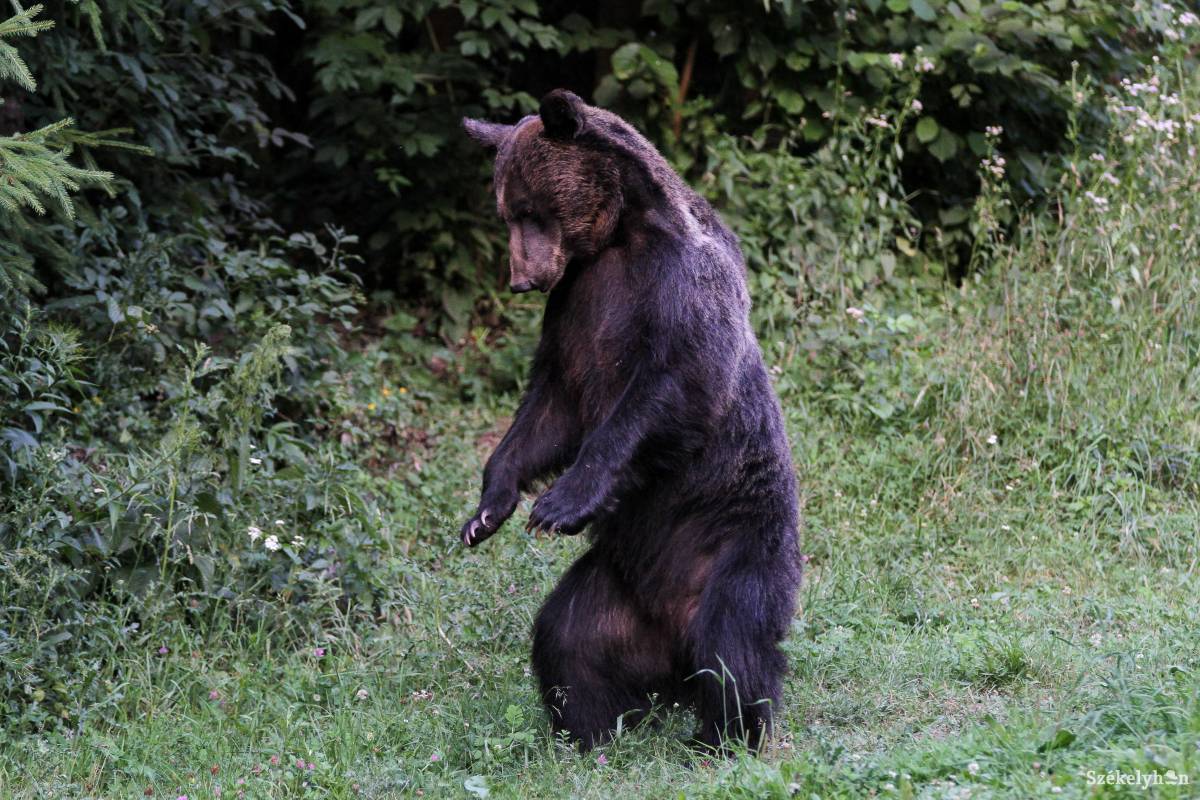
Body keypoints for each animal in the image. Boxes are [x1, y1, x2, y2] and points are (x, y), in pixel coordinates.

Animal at [463, 90, 801, 753]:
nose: (521, 278)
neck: (617, 239)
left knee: (733, 642)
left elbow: (670, 389)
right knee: (567, 636)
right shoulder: (575, 305)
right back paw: (592, 730)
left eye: (530, 210)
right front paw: (488, 510)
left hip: (736, 538)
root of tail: (671, 637)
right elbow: (550, 409)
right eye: (505, 212)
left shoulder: (680, 287)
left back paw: (724, 736)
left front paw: (559, 504)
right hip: (614, 585)